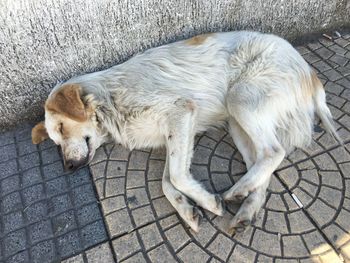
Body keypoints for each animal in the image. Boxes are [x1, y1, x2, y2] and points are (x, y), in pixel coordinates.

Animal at [31, 31, 340, 233]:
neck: (110, 99)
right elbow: (168, 182)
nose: (68, 167)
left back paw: (236, 191)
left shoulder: (181, 112)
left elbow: (177, 177)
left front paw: (208, 203)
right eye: (55, 142)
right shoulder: (176, 134)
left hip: (240, 98)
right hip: (236, 124)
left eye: (61, 127)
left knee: (274, 152)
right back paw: (246, 205)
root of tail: (310, 71)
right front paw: (187, 208)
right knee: (262, 162)